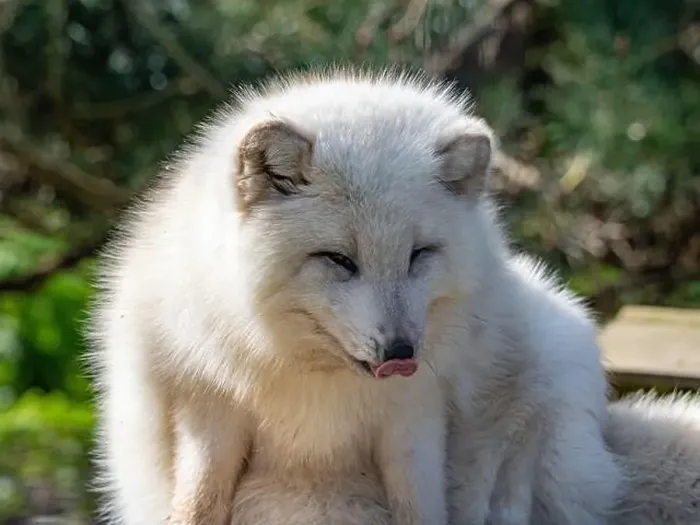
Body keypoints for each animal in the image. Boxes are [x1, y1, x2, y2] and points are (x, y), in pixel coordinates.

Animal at [86, 66, 622, 525]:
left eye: (419, 254)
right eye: (338, 259)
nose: (401, 352)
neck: (317, 384)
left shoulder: (415, 417)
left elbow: (420, 509)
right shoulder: (209, 409)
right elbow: (198, 505)